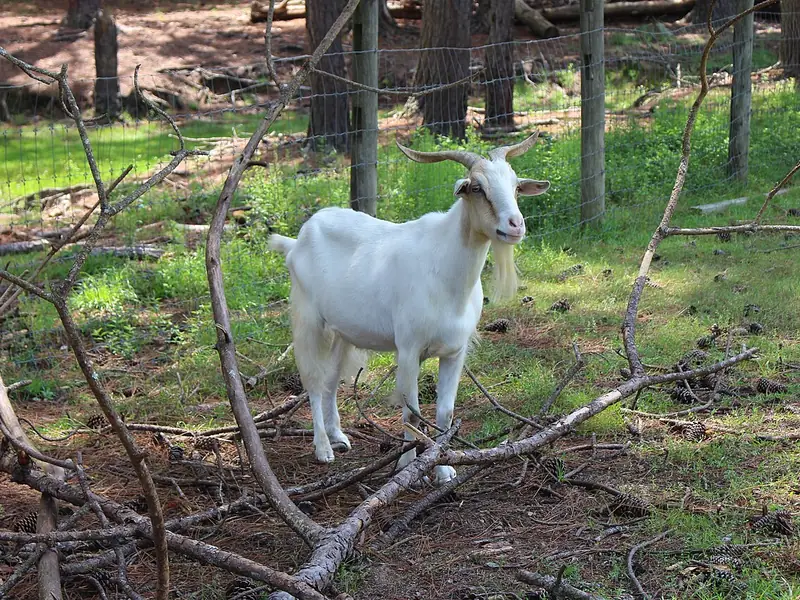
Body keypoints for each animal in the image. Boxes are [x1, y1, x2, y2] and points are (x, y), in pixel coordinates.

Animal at [267, 131, 550, 485]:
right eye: (477, 188)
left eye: (514, 185)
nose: (515, 225)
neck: (445, 272)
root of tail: (297, 241)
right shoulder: (409, 349)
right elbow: (411, 414)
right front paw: (406, 468)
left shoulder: (454, 352)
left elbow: (445, 414)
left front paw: (442, 470)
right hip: (308, 320)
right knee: (313, 381)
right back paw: (323, 448)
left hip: (343, 331)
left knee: (331, 379)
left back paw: (338, 437)